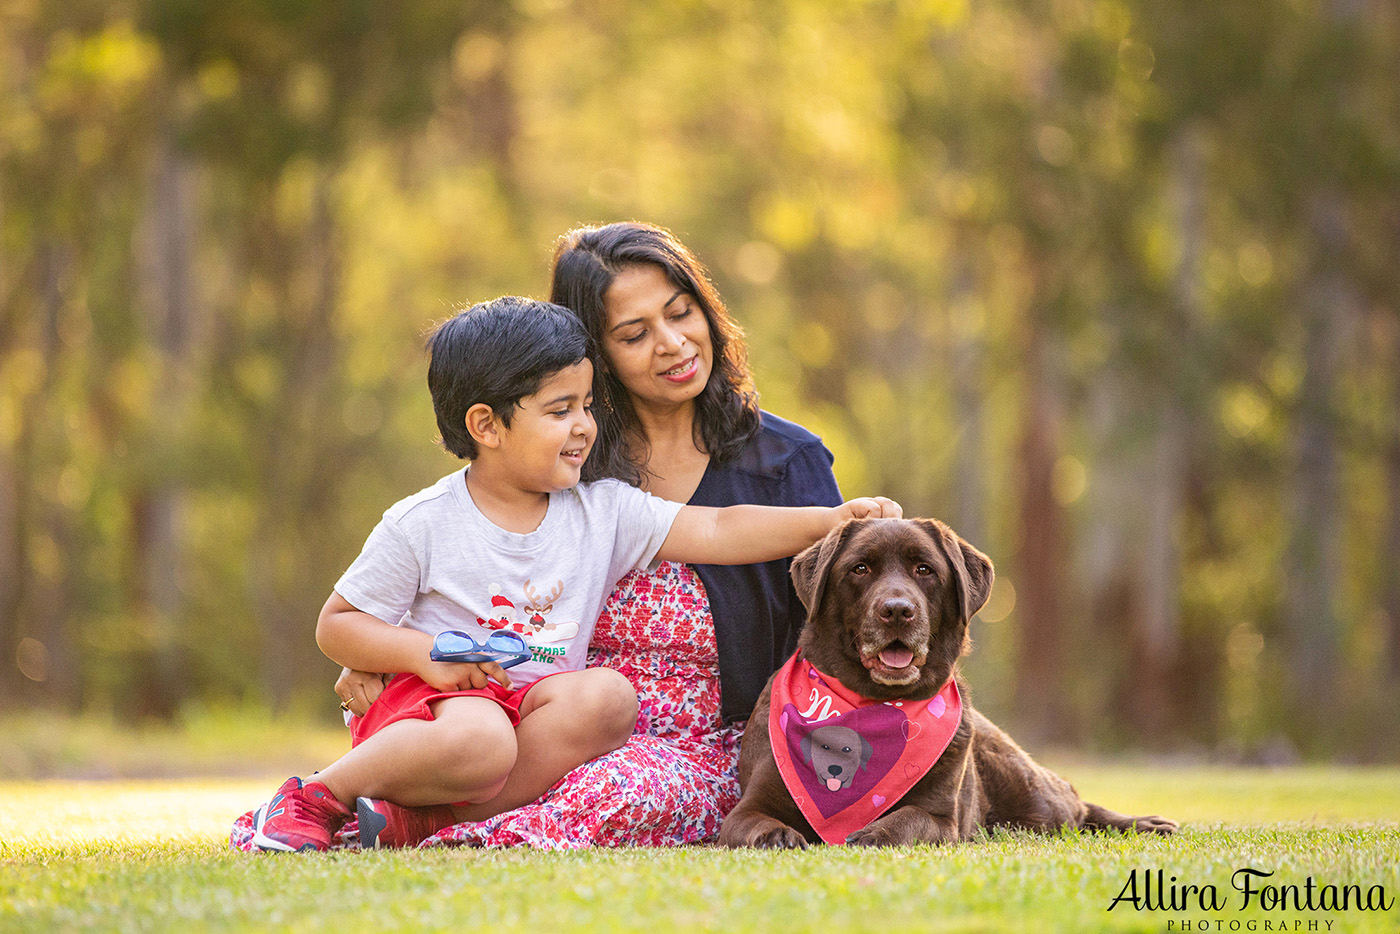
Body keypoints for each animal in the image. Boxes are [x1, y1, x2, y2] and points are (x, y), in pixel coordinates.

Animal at [716, 518, 1176, 845]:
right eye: (860, 568)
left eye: (925, 569)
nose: (897, 610)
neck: (871, 702)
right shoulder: (747, 807)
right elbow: (752, 822)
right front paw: (778, 833)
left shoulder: (942, 817)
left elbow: (907, 820)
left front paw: (873, 832)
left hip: (1033, 796)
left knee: (1076, 807)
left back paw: (1150, 823)